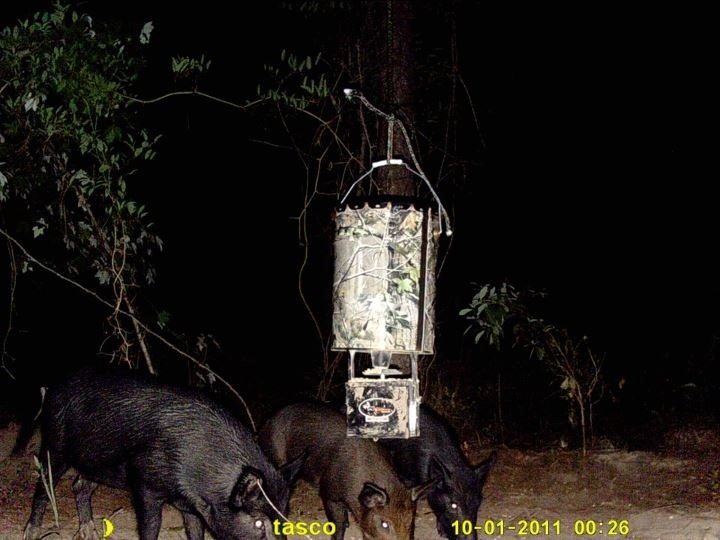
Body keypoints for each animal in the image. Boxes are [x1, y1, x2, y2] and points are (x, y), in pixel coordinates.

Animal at [23, 367, 303, 540]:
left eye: (284, 516)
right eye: (258, 522)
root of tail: (55, 386)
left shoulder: (191, 505)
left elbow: (196, 531)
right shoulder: (144, 483)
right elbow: (150, 527)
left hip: (99, 463)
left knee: (79, 485)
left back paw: (91, 533)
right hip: (54, 443)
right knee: (45, 484)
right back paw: (32, 533)